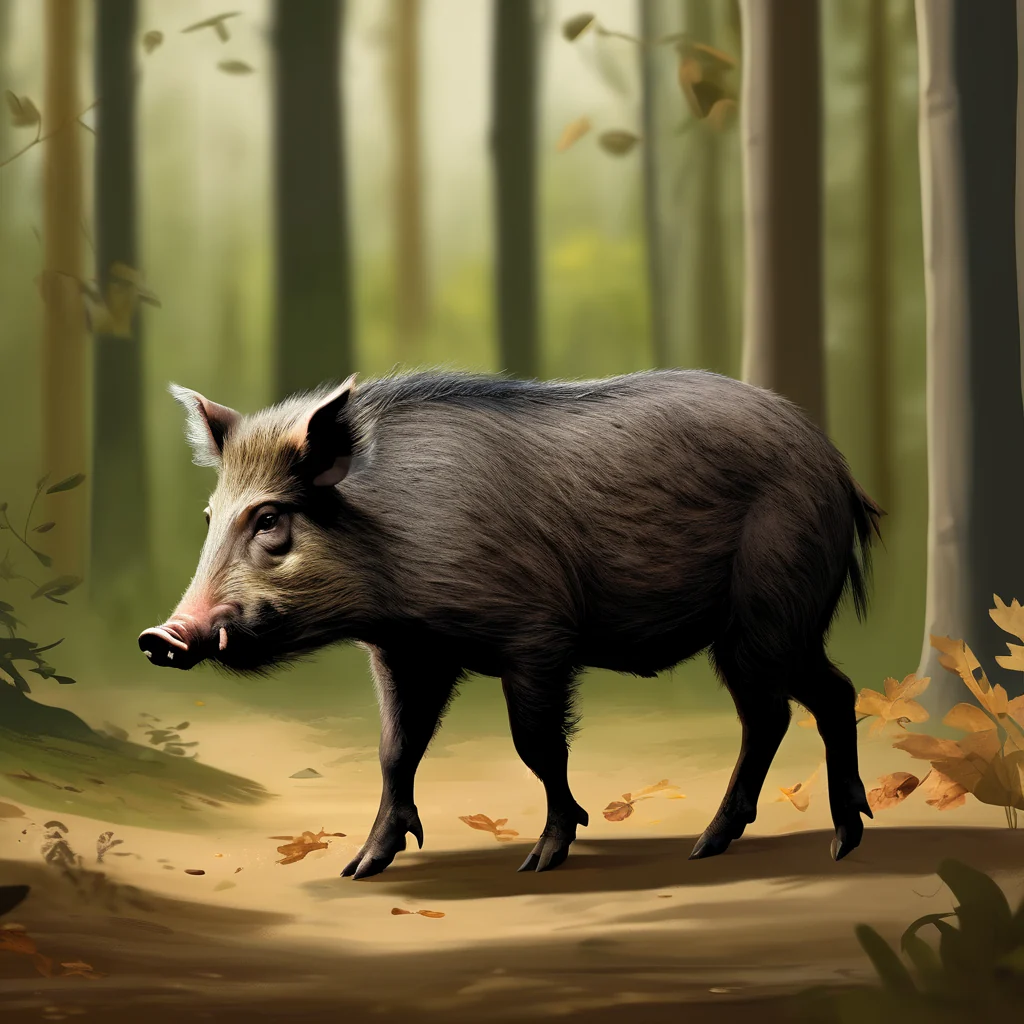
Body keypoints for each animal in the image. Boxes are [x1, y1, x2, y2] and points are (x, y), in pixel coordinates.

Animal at [140, 369, 883, 878]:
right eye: (210, 517)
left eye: (269, 519)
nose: (159, 636)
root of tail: (839, 468)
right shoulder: (405, 652)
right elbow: (395, 749)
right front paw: (360, 868)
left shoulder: (538, 636)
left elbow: (537, 745)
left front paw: (544, 857)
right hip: (753, 631)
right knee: (783, 711)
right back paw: (723, 846)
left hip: (771, 609)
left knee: (818, 698)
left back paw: (830, 842)